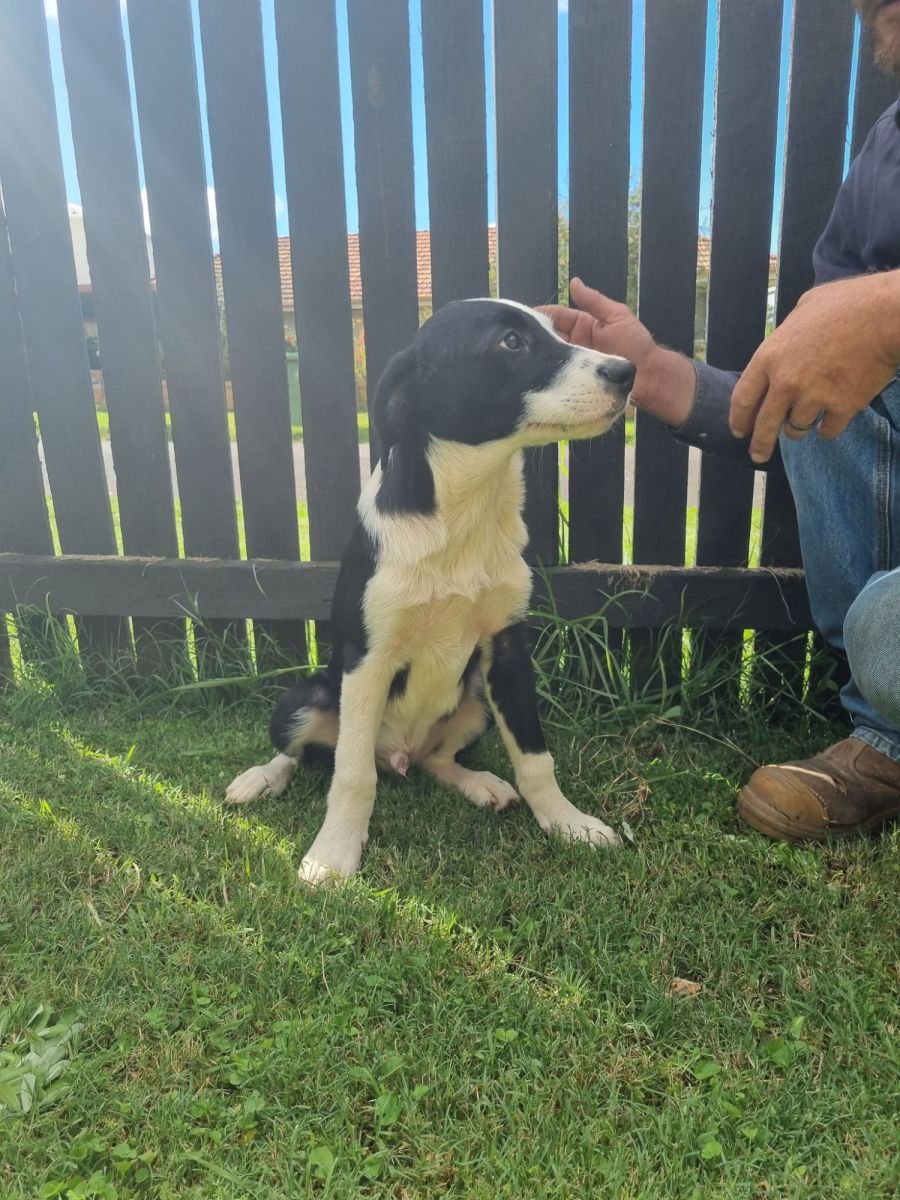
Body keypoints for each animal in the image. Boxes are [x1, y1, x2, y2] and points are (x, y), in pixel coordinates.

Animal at [225, 298, 635, 885]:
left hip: (477, 699)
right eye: (511, 342)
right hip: (303, 699)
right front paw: (333, 853)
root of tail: (399, 754)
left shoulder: (508, 652)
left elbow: (535, 757)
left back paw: (480, 784)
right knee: (306, 754)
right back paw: (259, 778)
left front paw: (566, 822)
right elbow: (351, 775)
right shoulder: (368, 660)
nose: (627, 371)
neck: (465, 510)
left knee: (438, 760)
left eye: (556, 330)